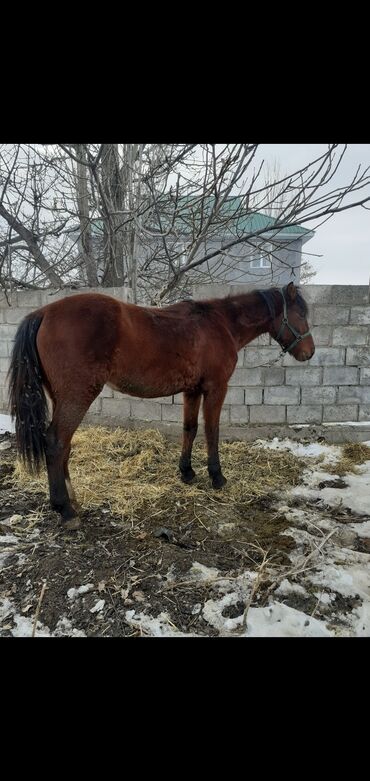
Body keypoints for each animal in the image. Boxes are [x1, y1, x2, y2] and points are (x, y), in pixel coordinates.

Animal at [8, 282, 314, 532]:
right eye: (300, 314)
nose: (309, 352)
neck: (219, 323)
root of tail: (43, 312)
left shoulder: (192, 391)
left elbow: (190, 429)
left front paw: (187, 472)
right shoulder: (215, 388)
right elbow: (212, 432)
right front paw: (217, 477)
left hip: (62, 397)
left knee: (65, 445)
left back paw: (72, 500)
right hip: (78, 396)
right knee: (56, 442)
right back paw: (65, 510)